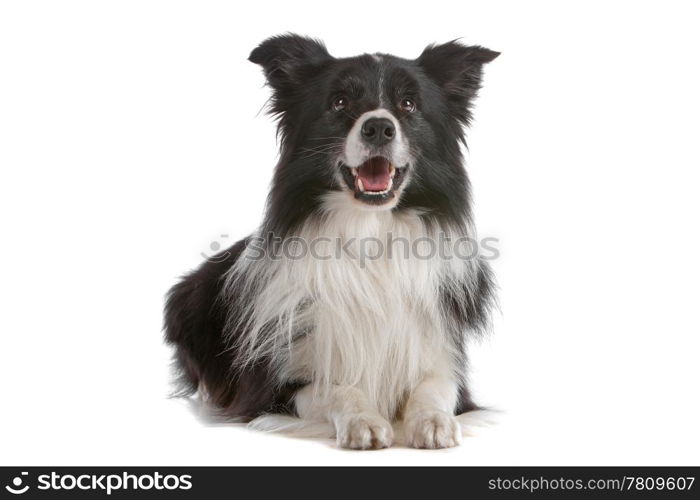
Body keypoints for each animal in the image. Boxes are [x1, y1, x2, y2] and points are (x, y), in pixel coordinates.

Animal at [164, 35, 498, 450]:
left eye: (408, 104)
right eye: (339, 102)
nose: (378, 128)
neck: (368, 234)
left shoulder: (443, 357)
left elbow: (437, 388)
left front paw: (433, 421)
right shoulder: (273, 385)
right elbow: (332, 388)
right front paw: (362, 420)